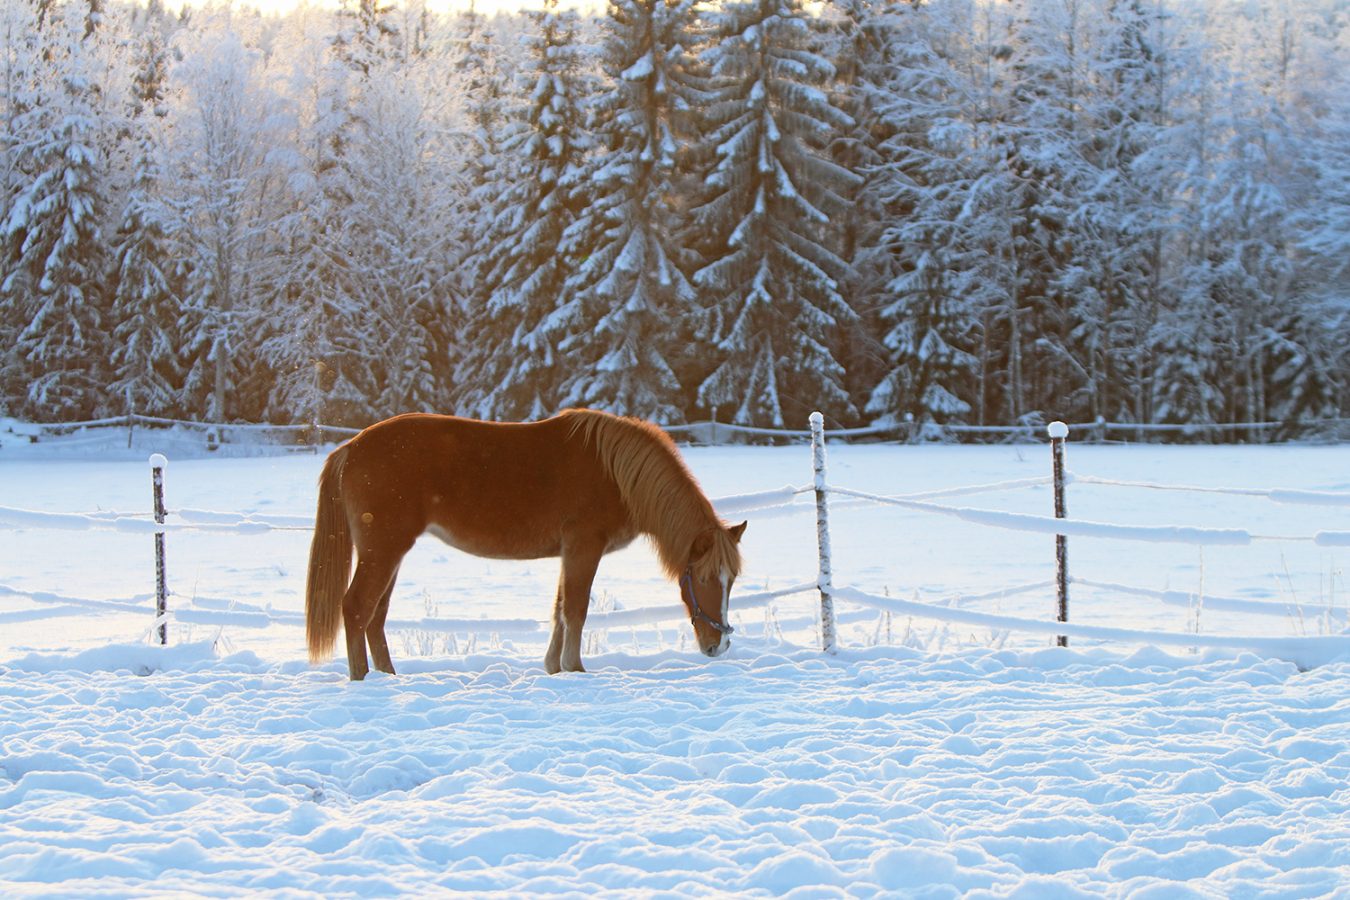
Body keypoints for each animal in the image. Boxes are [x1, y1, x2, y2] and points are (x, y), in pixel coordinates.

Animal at [306, 412, 750, 680]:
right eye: (705, 578)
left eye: (732, 581)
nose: (720, 645)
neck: (615, 473)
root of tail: (352, 447)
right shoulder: (584, 547)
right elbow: (575, 609)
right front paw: (574, 668)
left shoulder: (569, 552)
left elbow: (559, 610)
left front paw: (554, 668)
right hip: (383, 551)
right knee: (357, 608)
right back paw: (363, 680)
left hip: (390, 553)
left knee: (375, 618)